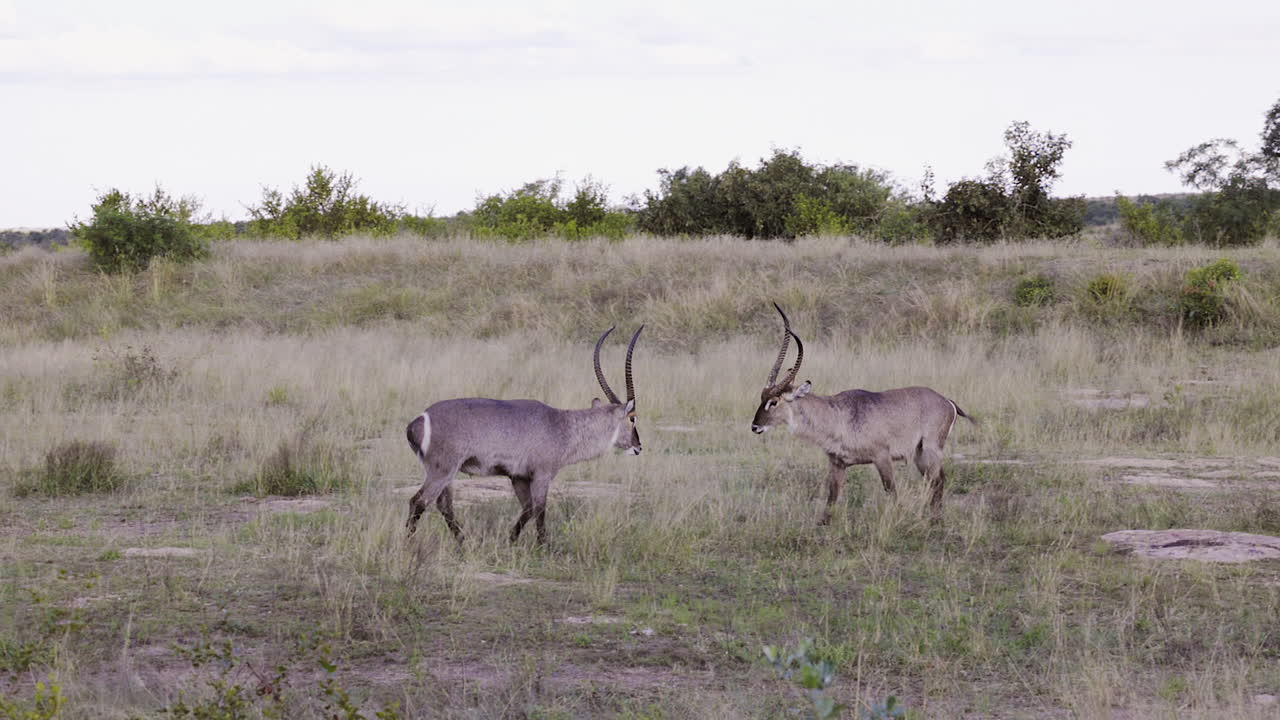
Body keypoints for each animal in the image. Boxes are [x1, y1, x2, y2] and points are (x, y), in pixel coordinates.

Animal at [405, 326, 644, 545]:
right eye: (633, 418)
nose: (639, 447)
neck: (563, 426)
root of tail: (418, 421)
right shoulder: (541, 475)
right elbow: (540, 510)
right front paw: (544, 547)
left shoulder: (518, 476)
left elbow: (527, 509)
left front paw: (510, 540)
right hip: (442, 471)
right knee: (418, 501)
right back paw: (410, 543)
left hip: (446, 473)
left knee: (443, 505)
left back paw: (462, 541)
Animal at [750, 304, 973, 524]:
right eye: (761, 397)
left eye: (774, 401)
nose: (755, 427)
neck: (837, 417)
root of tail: (946, 400)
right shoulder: (837, 464)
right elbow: (831, 499)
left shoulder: (882, 457)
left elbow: (892, 492)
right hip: (919, 454)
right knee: (935, 481)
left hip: (929, 451)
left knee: (938, 481)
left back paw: (936, 521)